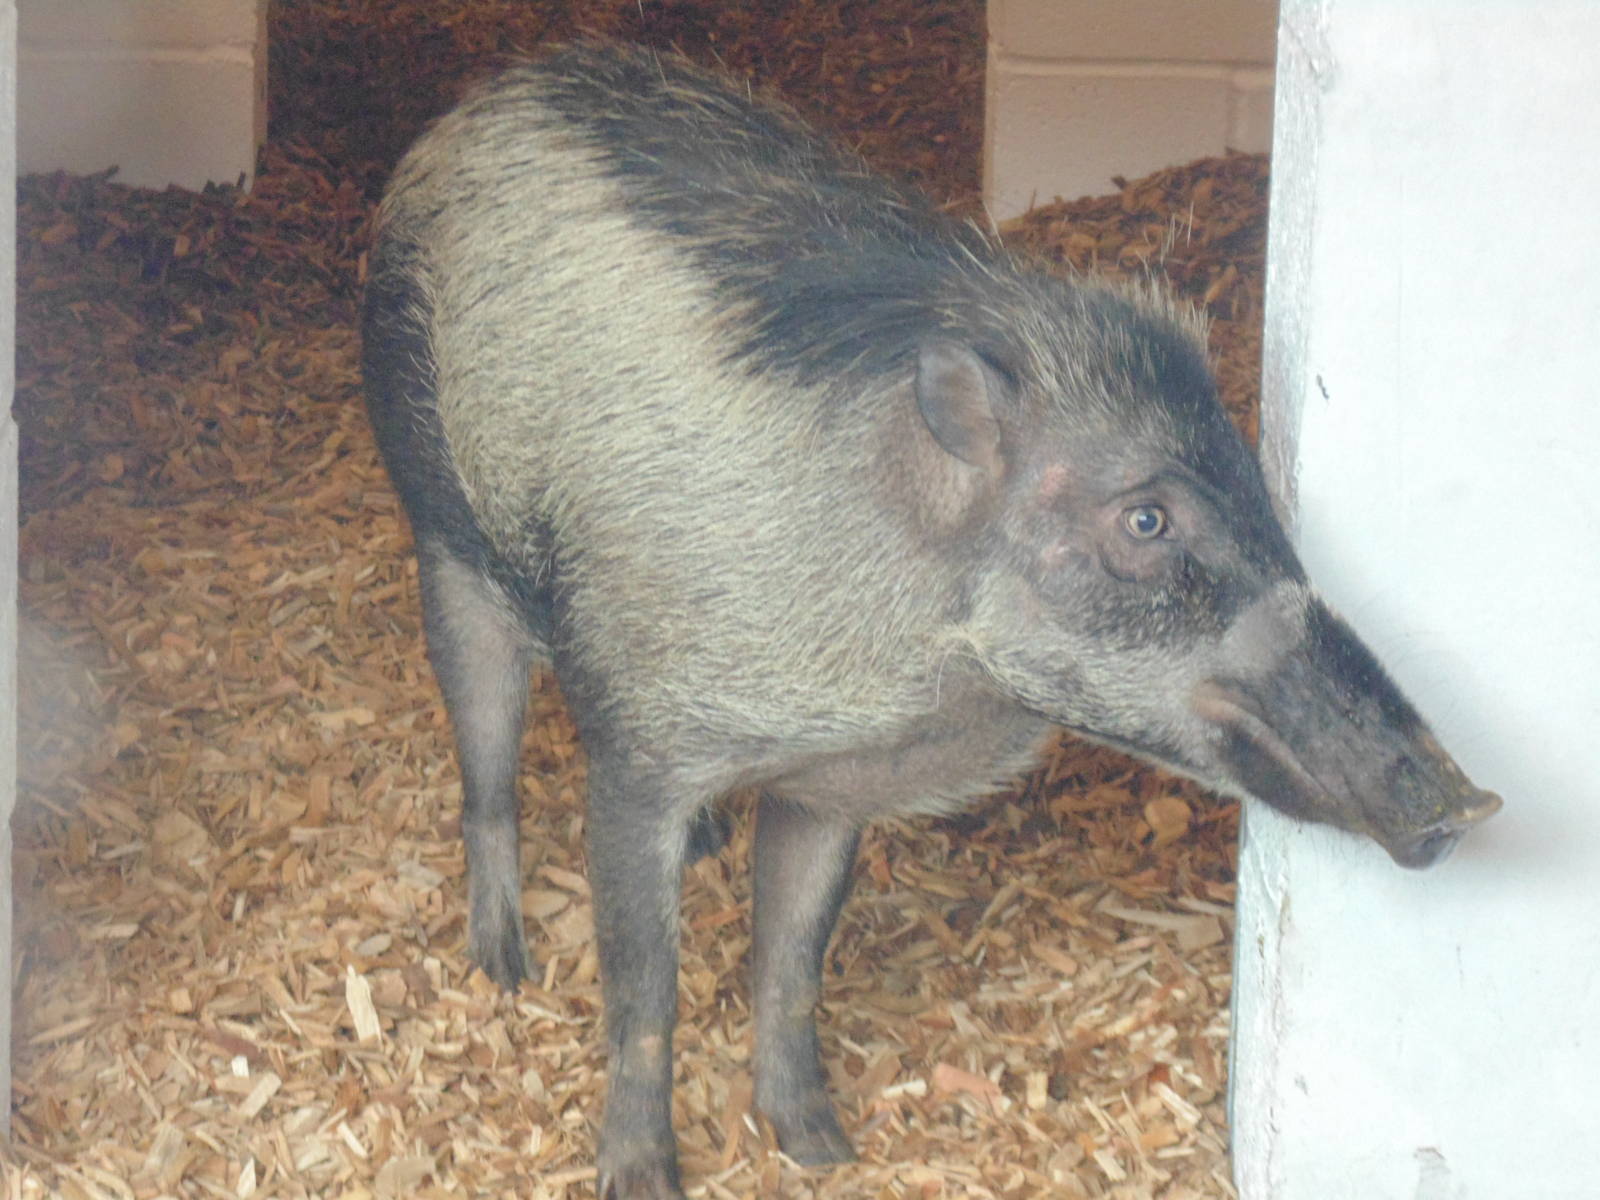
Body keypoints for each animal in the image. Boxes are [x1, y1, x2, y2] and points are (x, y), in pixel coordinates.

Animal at [361, 40, 1501, 1200]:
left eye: (1260, 493)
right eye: (1146, 517)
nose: (1473, 800)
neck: (916, 682)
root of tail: (481, 103)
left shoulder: (829, 787)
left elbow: (791, 963)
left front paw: (823, 1150)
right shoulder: (640, 752)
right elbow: (645, 992)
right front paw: (645, 1178)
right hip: (441, 529)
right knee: (486, 769)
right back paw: (502, 966)